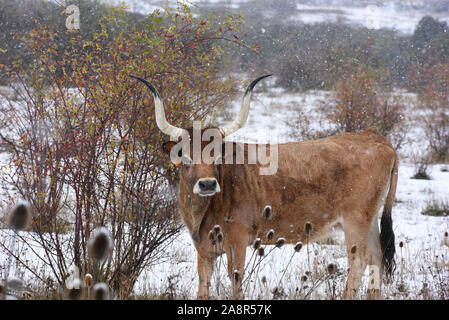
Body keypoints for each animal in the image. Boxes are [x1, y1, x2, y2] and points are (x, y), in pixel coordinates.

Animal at [131, 74, 398, 300]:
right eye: (185, 158)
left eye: (217, 157)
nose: (207, 184)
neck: (204, 211)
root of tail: (374, 137)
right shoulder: (204, 250)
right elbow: (203, 286)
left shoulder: (237, 242)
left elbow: (236, 281)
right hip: (370, 220)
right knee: (376, 257)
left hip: (356, 221)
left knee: (360, 261)